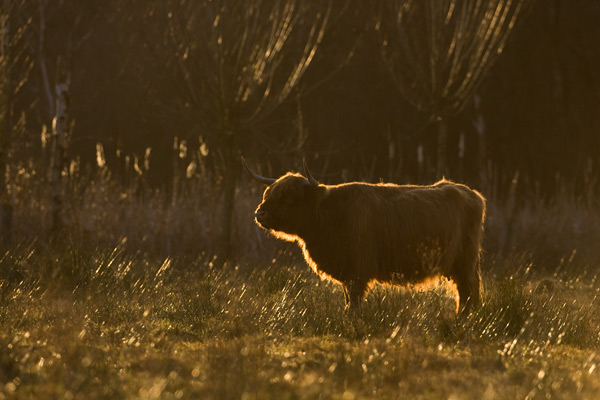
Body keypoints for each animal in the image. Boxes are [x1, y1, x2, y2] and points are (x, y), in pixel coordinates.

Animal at [241, 156, 486, 312]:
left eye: (289, 196)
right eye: (268, 193)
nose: (259, 213)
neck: (330, 216)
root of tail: (471, 193)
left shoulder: (358, 273)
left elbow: (354, 305)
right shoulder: (347, 274)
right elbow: (348, 301)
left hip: (465, 263)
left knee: (469, 292)